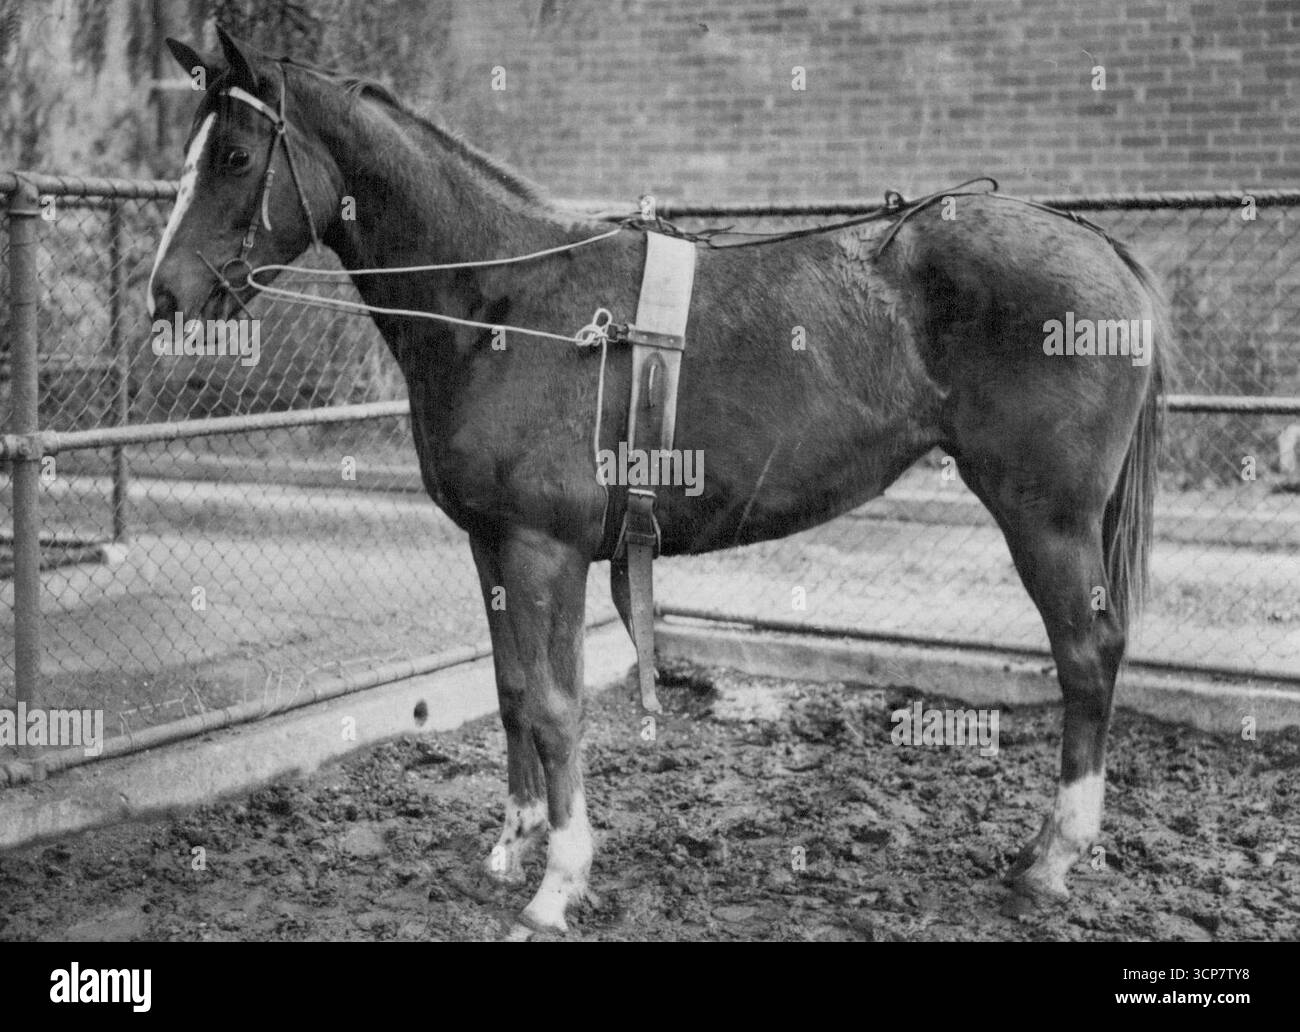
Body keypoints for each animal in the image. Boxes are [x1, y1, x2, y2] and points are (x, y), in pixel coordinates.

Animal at [147, 28, 1166, 935]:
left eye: (234, 155)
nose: (166, 294)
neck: (503, 303)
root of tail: (1101, 250)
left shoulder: (545, 548)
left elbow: (555, 706)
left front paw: (558, 884)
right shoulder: (489, 544)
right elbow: (510, 691)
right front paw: (514, 841)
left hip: (1048, 520)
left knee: (1088, 660)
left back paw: (1050, 860)